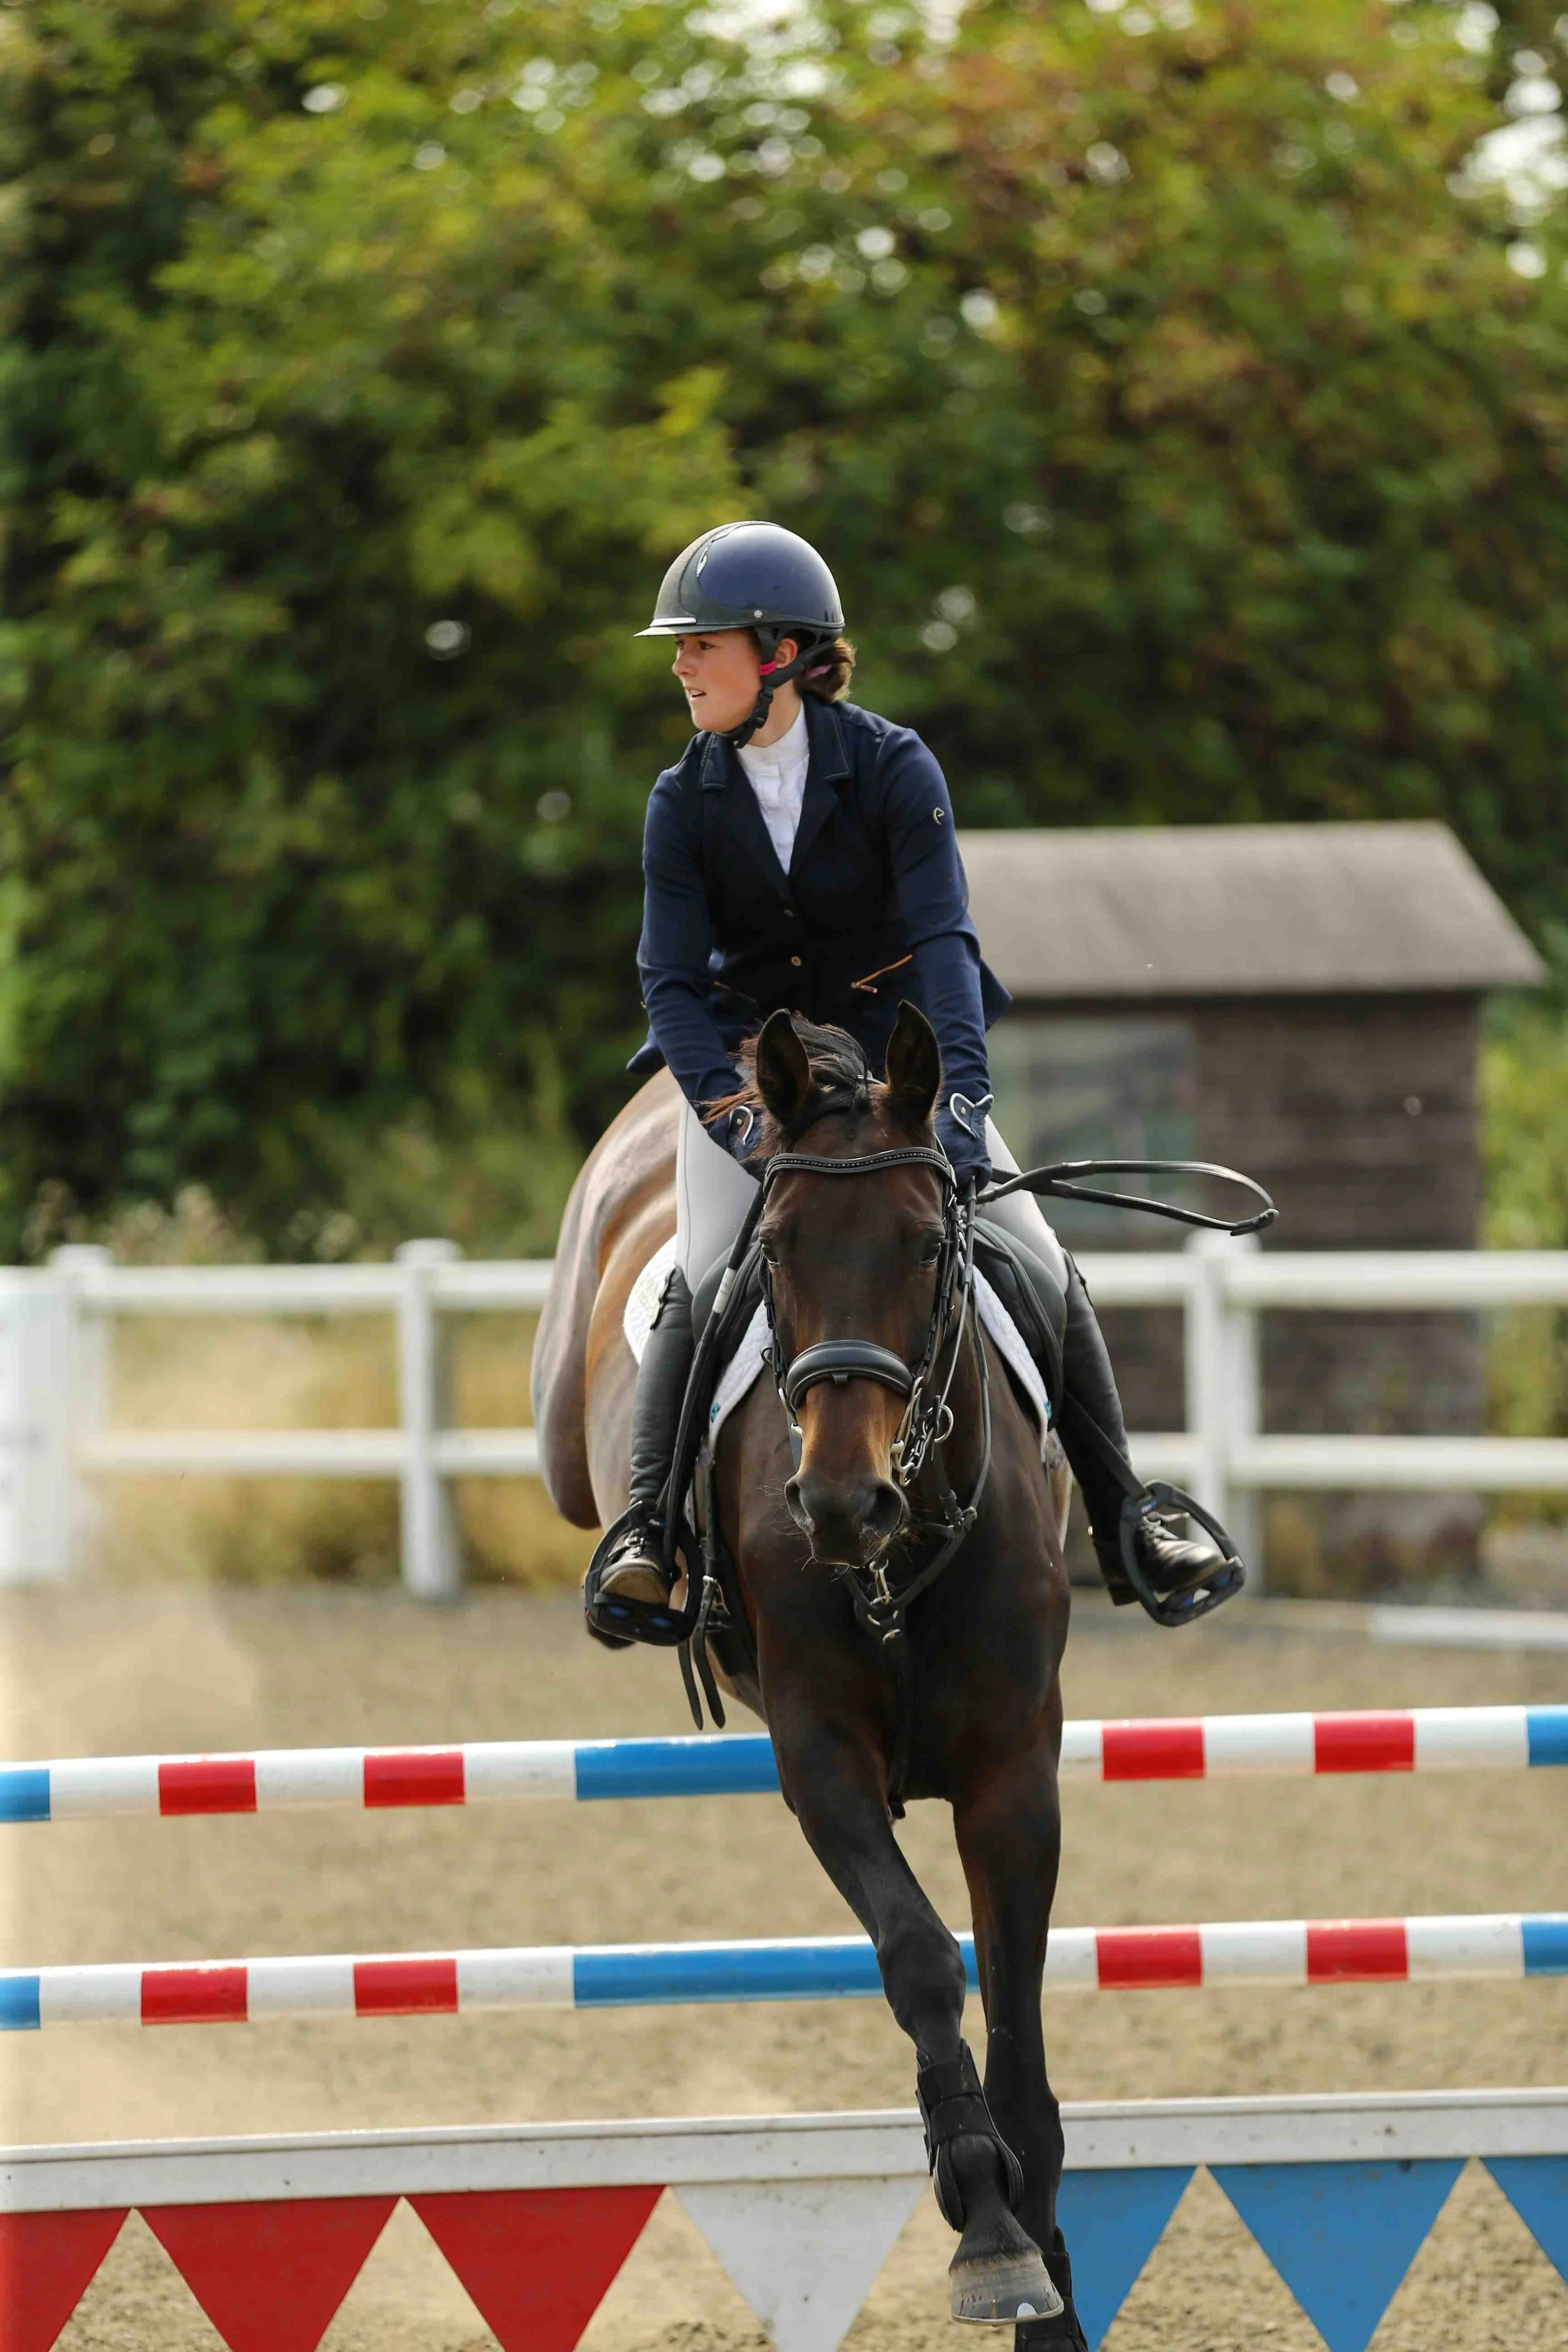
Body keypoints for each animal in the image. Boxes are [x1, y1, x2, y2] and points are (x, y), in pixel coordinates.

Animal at [534, 1002, 1086, 2346]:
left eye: (929, 1245)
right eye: (778, 1250)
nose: (841, 1500)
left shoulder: (1015, 1771)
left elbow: (1019, 2022)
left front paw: (1042, 2270)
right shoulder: (821, 1754)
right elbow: (922, 1955)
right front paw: (985, 2219)